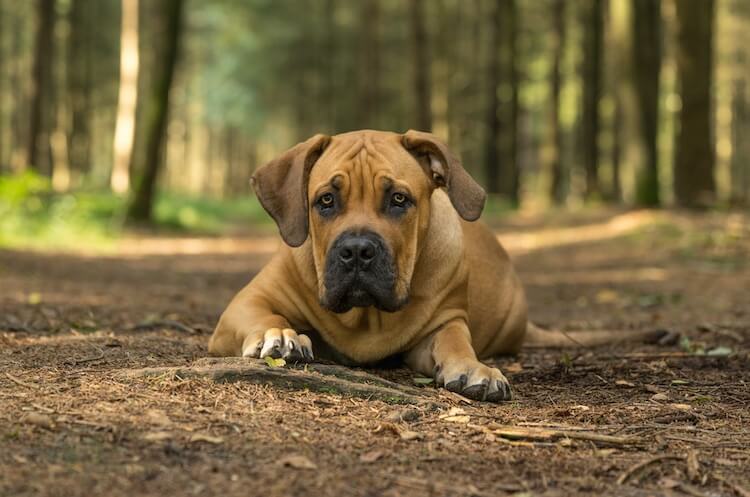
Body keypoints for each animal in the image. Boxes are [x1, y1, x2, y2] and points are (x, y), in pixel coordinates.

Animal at [209, 130, 668, 402]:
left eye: (399, 199)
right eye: (326, 200)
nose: (357, 250)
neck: (366, 317)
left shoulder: (443, 323)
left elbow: (455, 343)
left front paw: (474, 370)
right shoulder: (245, 303)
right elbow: (266, 316)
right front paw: (280, 334)